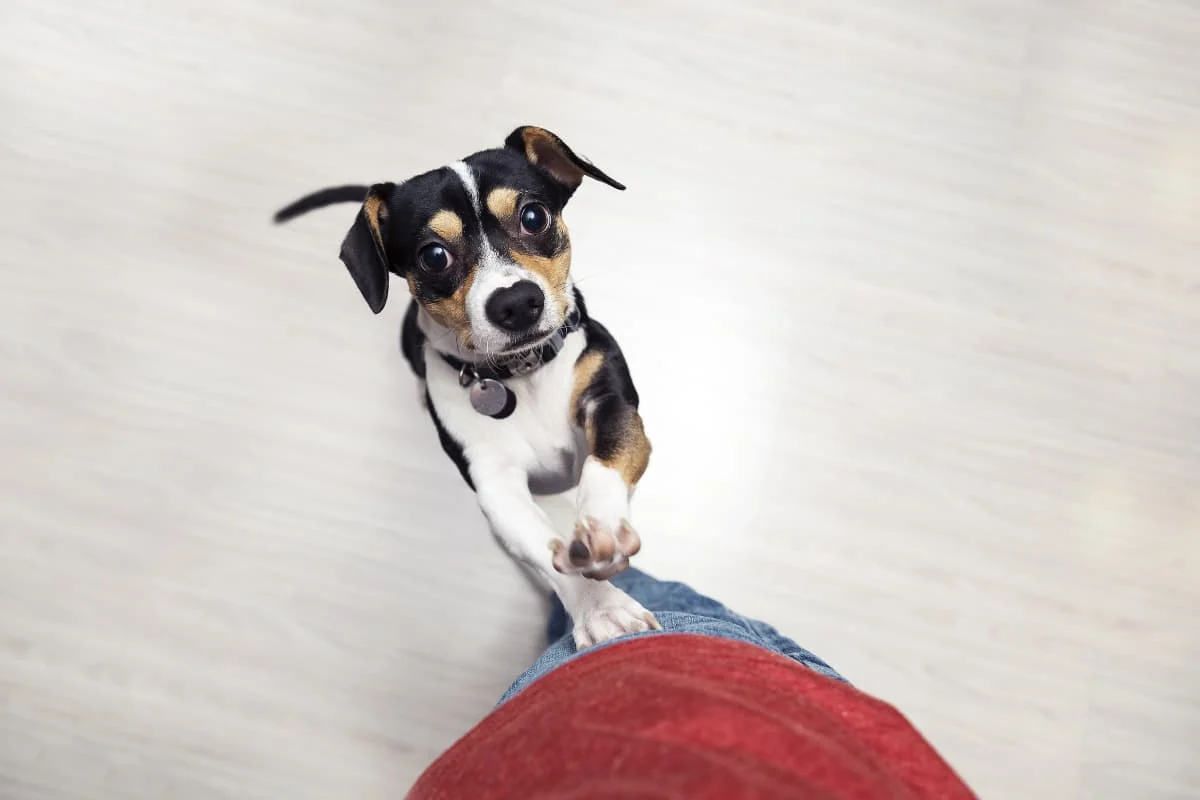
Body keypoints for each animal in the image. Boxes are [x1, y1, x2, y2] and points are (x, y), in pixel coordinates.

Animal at [276, 126, 662, 652]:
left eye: (534, 216)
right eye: (433, 255)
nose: (516, 302)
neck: (520, 374)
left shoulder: (613, 405)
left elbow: (604, 466)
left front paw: (601, 524)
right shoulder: (495, 486)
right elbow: (545, 550)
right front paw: (601, 607)